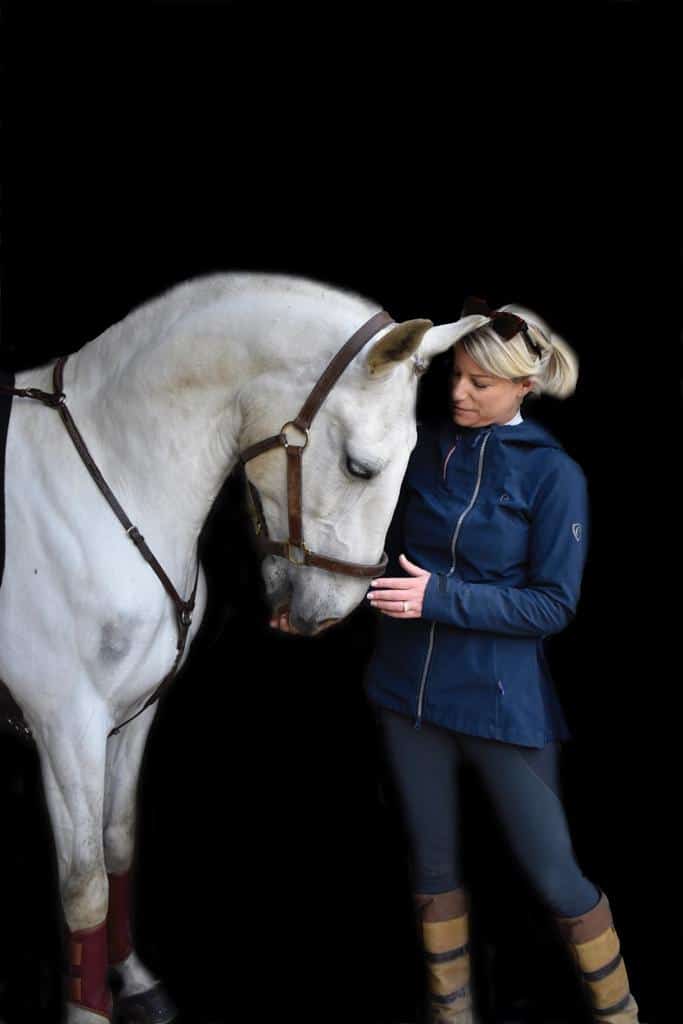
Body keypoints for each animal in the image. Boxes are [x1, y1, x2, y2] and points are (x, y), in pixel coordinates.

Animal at [0, 271, 465, 1023]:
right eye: (361, 468)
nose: (326, 615)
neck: (109, 476)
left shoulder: (131, 715)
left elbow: (119, 844)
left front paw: (133, 978)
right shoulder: (65, 726)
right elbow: (85, 887)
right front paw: (89, 1007)